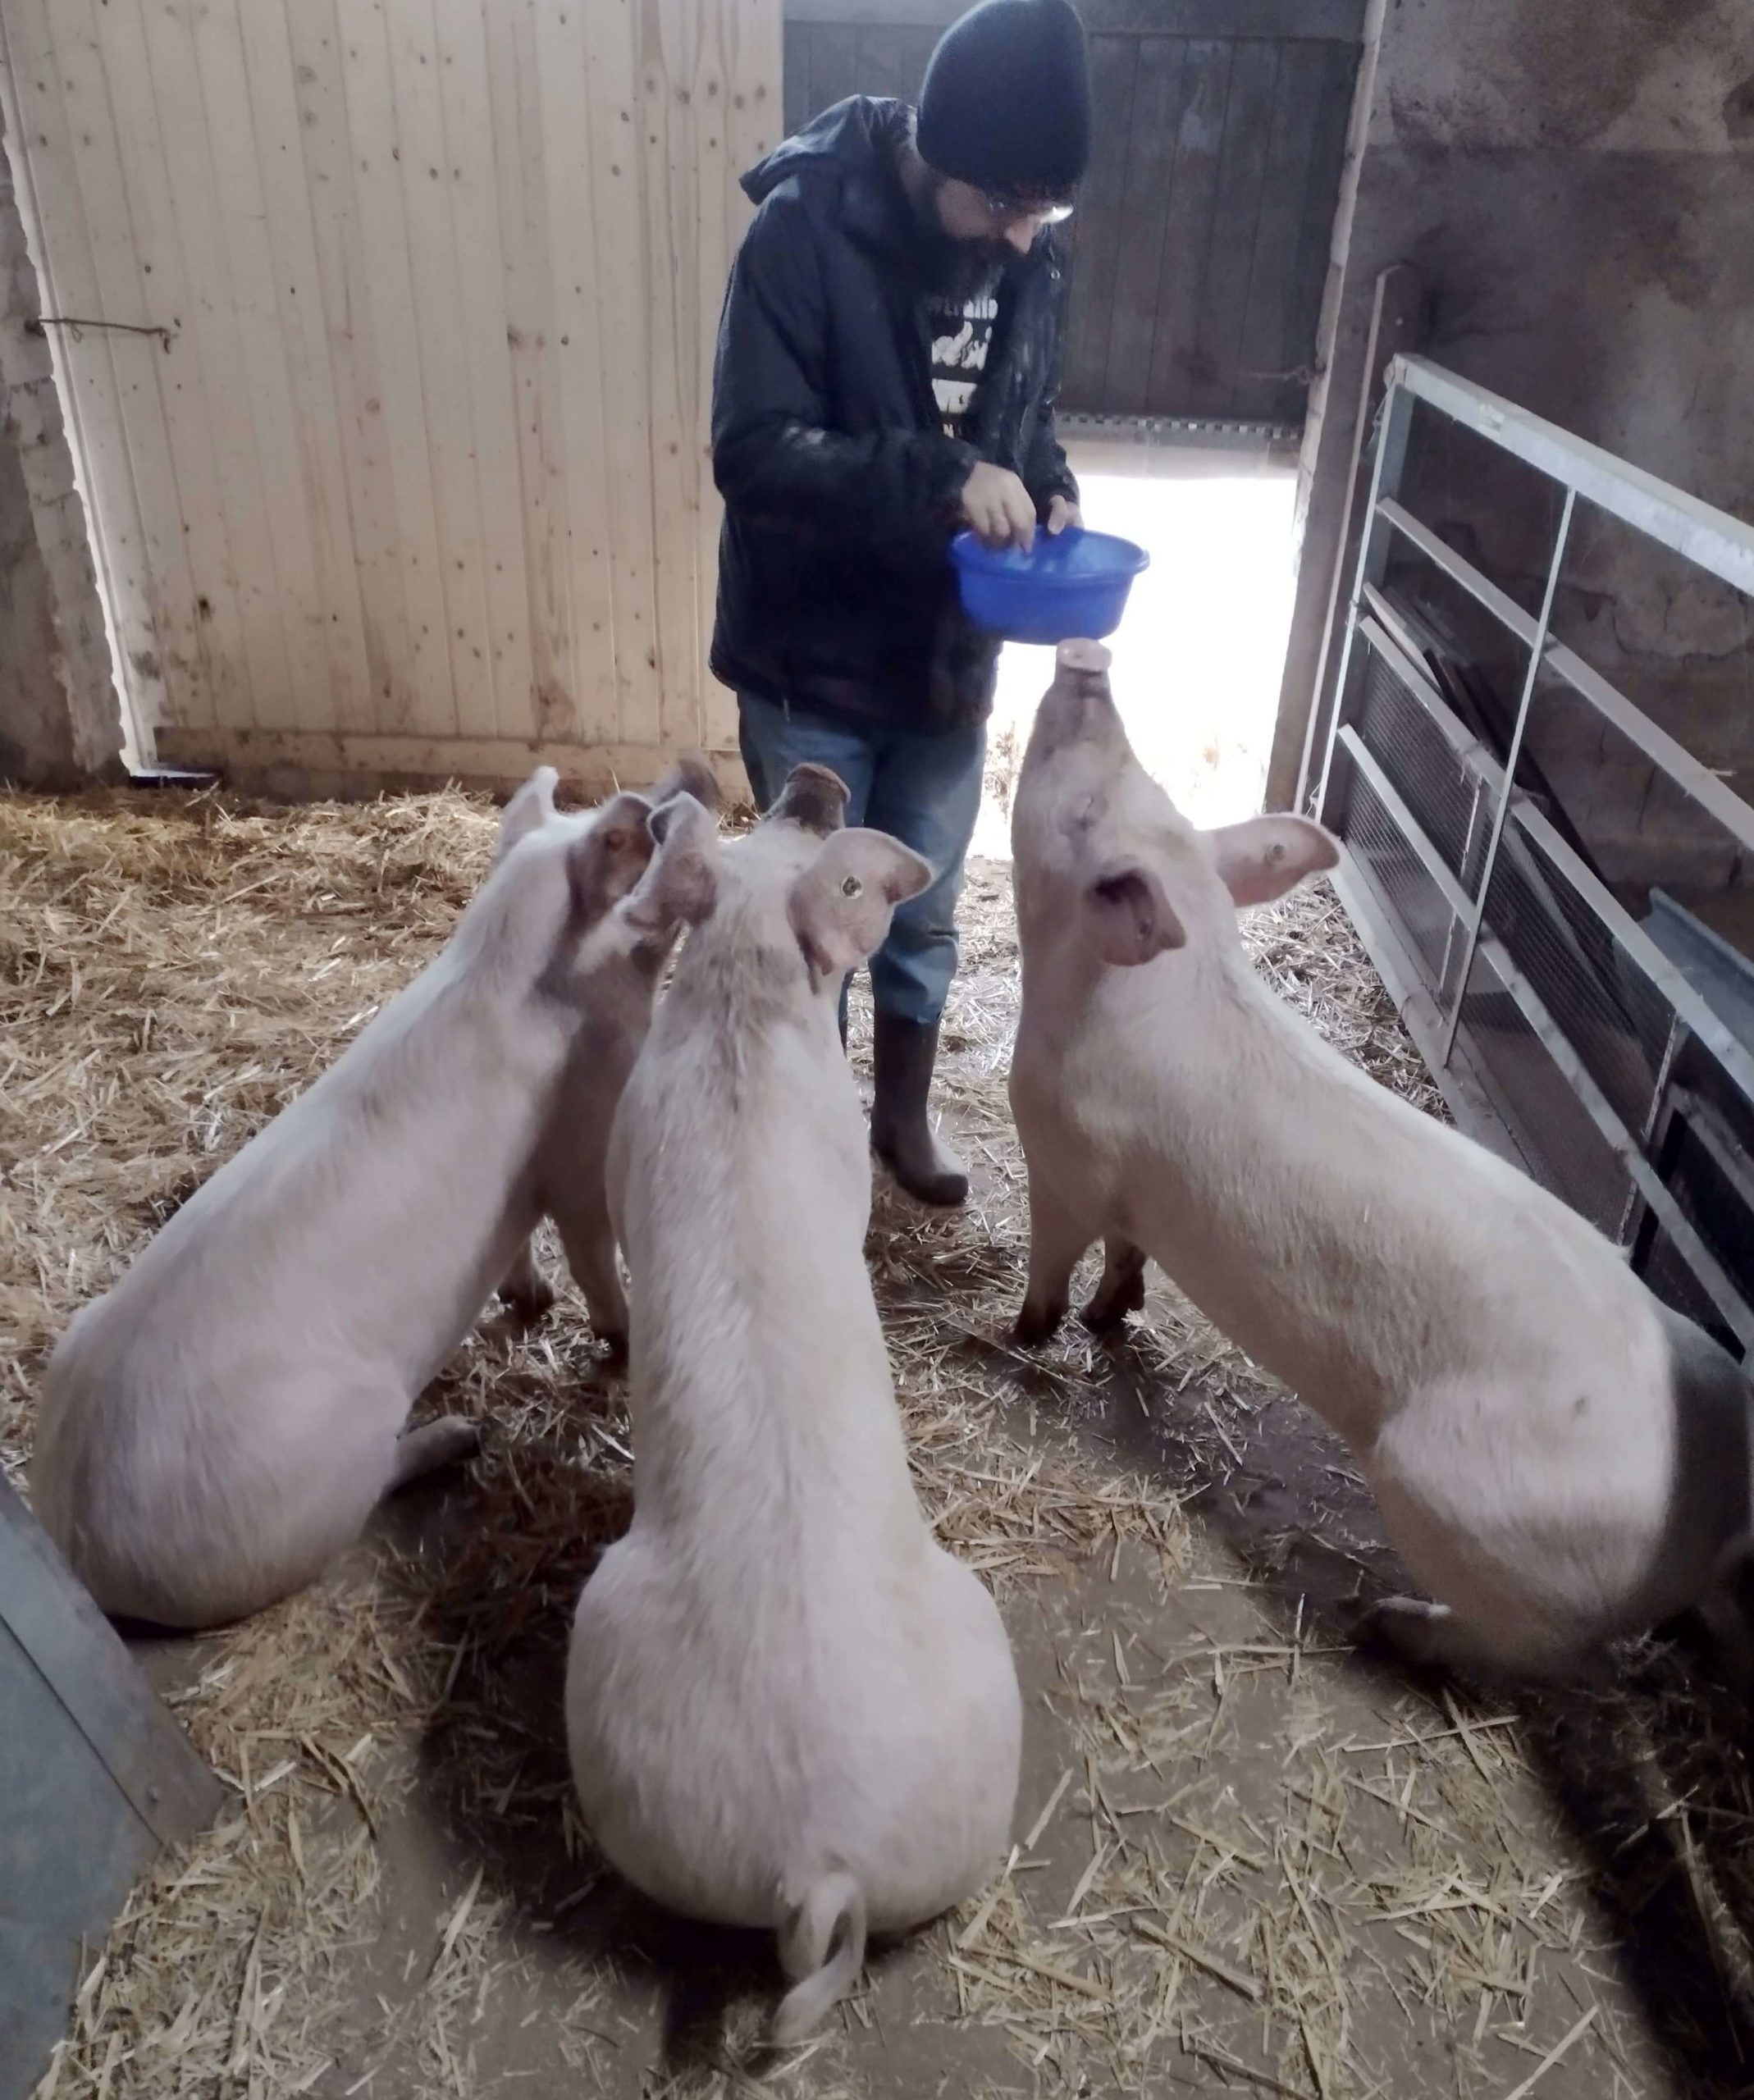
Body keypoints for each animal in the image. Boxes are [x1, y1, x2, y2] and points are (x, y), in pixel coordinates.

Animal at [29, 764, 714, 1629]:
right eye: (631, 841)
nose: (682, 787)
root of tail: (86, 1554)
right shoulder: (578, 1147)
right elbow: (592, 1247)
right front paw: (616, 1340)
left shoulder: (520, 1189)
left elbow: (516, 1242)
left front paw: (529, 1298)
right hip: (336, 1447)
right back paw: (463, 1435)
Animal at [999, 638, 1754, 1688]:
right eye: (1145, 783)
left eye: (1082, 812)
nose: (1084, 662)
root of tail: (1718, 1497)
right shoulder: (1124, 1195)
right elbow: (1123, 1255)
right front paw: (1111, 1315)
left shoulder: (1059, 1151)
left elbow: (1050, 1254)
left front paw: (1016, 1336)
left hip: (1463, 1509)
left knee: (1540, 1652)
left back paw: (1386, 1623)